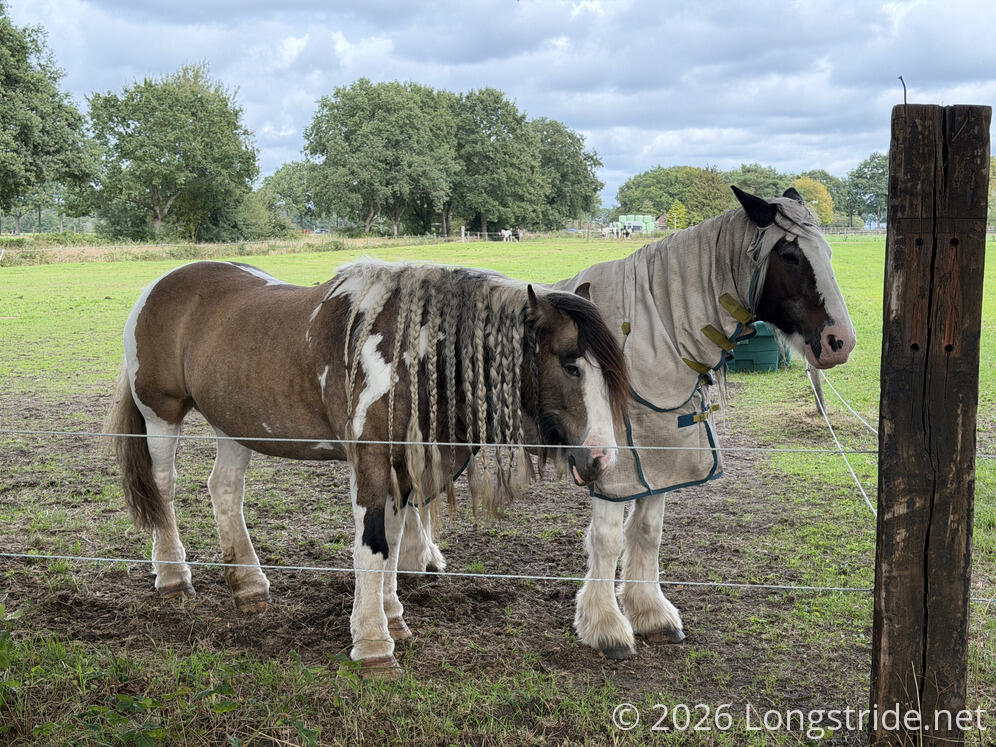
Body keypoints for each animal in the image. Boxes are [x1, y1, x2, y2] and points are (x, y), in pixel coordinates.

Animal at [105, 259, 630, 678]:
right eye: (570, 365)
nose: (603, 458)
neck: (409, 352)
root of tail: (161, 285)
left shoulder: (403, 467)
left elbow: (394, 543)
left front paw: (392, 614)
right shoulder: (371, 459)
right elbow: (373, 548)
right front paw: (374, 643)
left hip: (233, 424)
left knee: (225, 490)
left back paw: (249, 585)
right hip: (160, 414)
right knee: (163, 490)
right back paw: (172, 574)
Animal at [398, 186, 856, 659]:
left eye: (827, 252)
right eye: (790, 255)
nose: (839, 342)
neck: (654, 339)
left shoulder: (660, 461)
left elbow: (648, 532)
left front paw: (650, 613)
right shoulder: (610, 464)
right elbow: (607, 538)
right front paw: (605, 626)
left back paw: (420, 559)